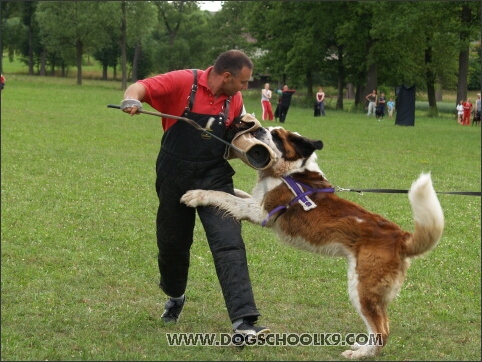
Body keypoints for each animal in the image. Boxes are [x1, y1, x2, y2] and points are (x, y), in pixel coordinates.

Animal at [181, 126, 444, 358]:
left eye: (276, 137)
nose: (257, 129)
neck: (291, 173)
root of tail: (401, 236)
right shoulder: (255, 202)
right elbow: (234, 193)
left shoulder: (261, 212)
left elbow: (223, 196)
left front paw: (197, 194)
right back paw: (362, 348)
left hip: (361, 289)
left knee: (382, 330)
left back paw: (360, 354)